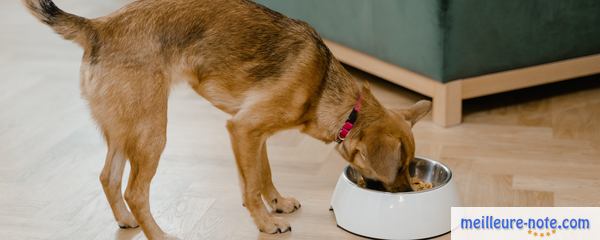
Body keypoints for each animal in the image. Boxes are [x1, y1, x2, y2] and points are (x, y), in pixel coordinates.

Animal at [23, 0, 432, 238]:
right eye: (401, 167)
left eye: (411, 166)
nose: (409, 194)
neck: (328, 92)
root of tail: (99, 26)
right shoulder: (244, 129)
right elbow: (250, 188)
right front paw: (267, 223)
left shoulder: (254, 134)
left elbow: (262, 175)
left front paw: (277, 203)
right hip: (152, 132)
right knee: (135, 191)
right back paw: (158, 233)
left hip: (126, 129)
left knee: (108, 177)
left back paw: (125, 220)